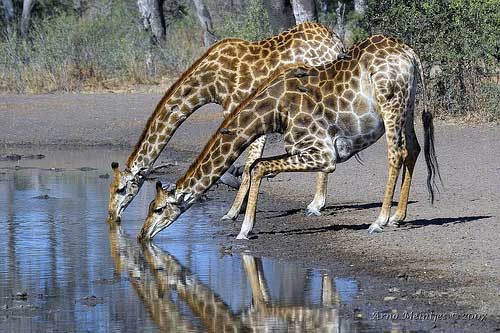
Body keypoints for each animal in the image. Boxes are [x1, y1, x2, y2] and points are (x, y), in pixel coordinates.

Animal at [107, 22, 346, 222]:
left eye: (120, 189)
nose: (111, 215)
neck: (208, 84)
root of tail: (336, 40)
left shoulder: (240, 110)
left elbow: (248, 164)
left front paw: (232, 212)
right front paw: (240, 209)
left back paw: (315, 204)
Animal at [139, 35, 440, 240]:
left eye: (158, 209)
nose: (142, 235)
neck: (274, 110)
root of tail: (410, 53)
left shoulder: (323, 154)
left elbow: (257, 166)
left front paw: (244, 229)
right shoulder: (305, 150)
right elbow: (255, 166)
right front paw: (245, 226)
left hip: (390, 103)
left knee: (397, 153)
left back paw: (379, 220)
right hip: (407, 104)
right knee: (413, 149)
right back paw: (399, 217)